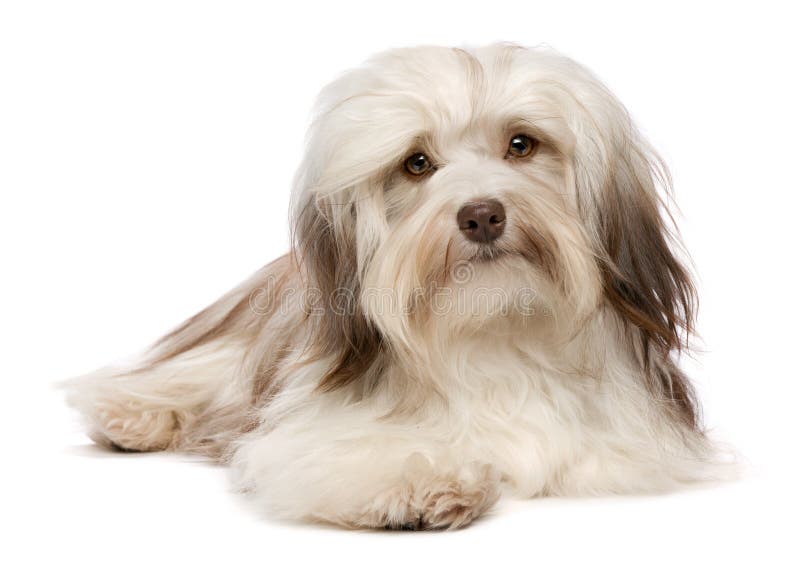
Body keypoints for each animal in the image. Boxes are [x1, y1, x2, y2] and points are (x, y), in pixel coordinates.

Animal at [67, 44, 720, 532]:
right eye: (416, 163)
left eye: (521, 143)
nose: (482, 215)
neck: (492, 328)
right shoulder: (311, 434)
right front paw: (426, 484)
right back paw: (132, 417)